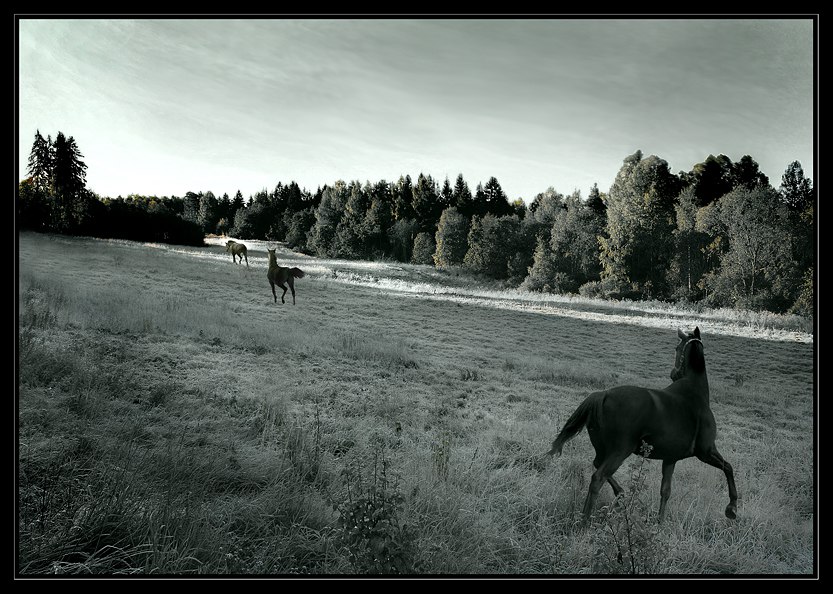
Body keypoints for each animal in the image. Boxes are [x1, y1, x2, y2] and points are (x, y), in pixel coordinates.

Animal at [544, 326, 736, 524]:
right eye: (677, 348)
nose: (673, 374)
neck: (695, 392)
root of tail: (603, 394)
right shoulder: (706, 451)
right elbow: (728, 467)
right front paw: (732, 508)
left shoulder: (671, 458)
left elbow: (665, 491)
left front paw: (659, 522)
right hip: (621, 450)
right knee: (598, 478)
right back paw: (585, 522)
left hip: (604, 449)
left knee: (597, 465)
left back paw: (617, 497)